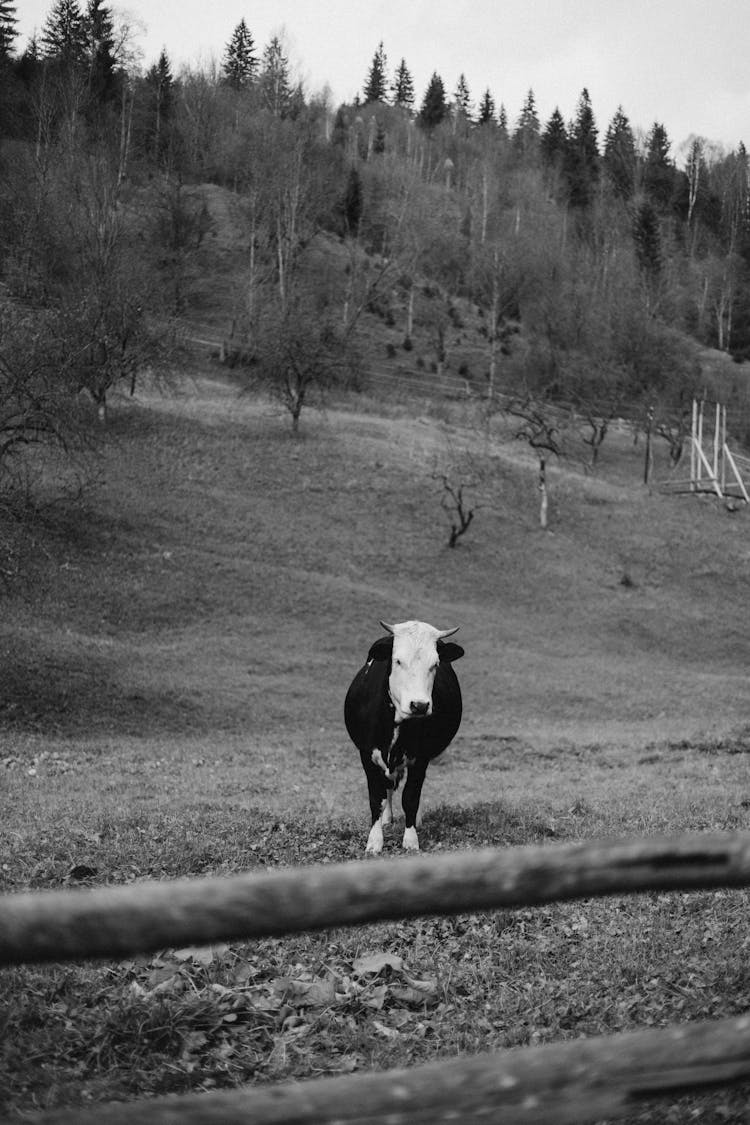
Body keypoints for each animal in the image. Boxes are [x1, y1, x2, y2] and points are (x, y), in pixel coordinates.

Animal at [344, 625, 463, 850]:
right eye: (398, 660)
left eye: (435, 664)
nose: (420, 705)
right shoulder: (367, 755)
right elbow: (376, 798)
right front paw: (374, 841)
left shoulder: (421, 758)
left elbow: (410, 797)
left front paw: (410, 839)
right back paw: (387, 818)